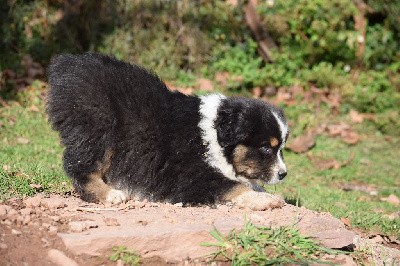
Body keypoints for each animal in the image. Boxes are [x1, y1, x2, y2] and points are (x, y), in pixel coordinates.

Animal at [47, 52, 290, 210]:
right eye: (265, 148)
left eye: (280, 148)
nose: (283, 174)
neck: (214, 135)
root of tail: (66, 63)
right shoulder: (190, 177)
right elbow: (232, 186)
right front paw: (266, 200)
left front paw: (265, 193)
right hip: (98, 125)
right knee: (80, 165)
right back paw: (109, 194)